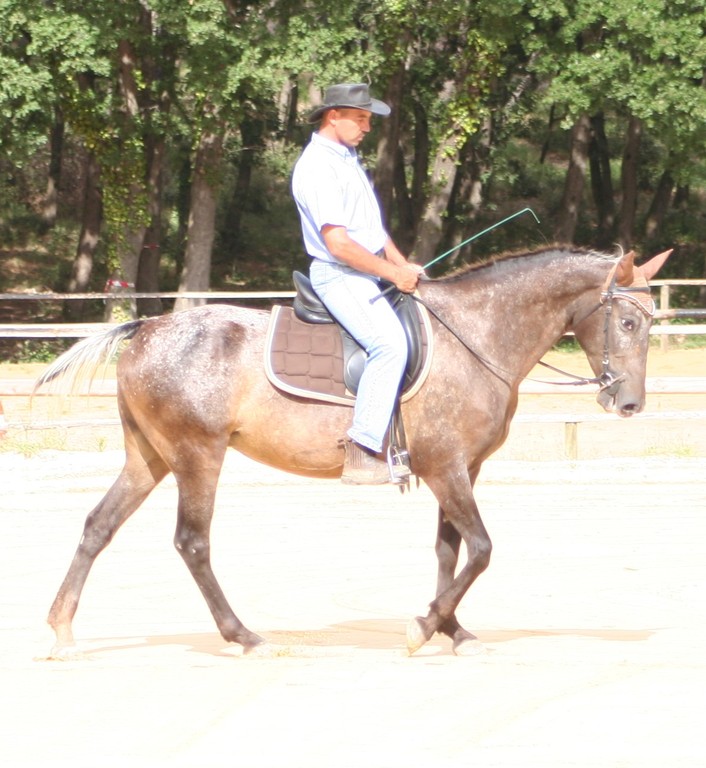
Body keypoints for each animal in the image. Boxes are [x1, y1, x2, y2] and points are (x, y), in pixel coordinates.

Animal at [35, 245, 671, 657]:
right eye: (629, 321)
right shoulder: (448, 468)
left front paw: (452, 630)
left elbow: (450, 551)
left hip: (150, 457)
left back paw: (62, 631)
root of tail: (145, 328)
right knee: (192, 542)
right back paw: (244, 636)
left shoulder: (457, 467)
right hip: (196, 454)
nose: (630, 403)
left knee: (98, 526)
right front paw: (424, 627)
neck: (477, 334)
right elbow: (483, 549)